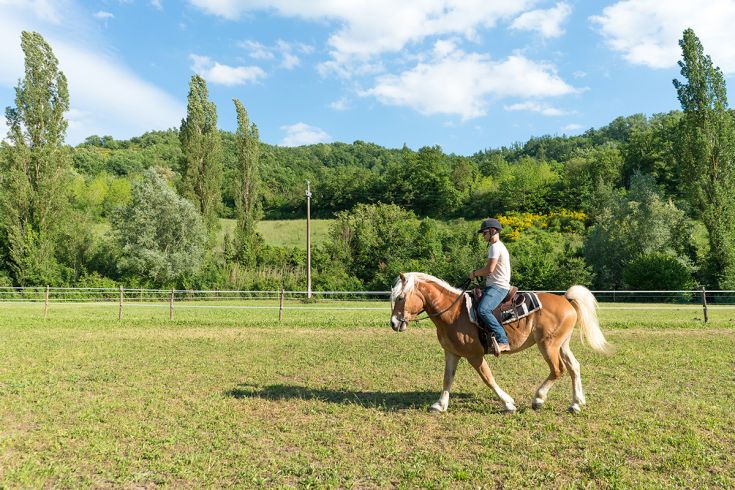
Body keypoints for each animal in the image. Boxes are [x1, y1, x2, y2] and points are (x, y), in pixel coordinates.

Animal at [389, 272, 611, 413]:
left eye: (400, 297)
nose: (393, 323)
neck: (453, 313)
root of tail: (566, 299)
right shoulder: (452, 353)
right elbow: (447, 379)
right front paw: (440, 405)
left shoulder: (474, 355)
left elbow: (488, 378)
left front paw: (508, 404)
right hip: (561, 344)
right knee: (574, 367)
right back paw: (576, 404)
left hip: (548, 345)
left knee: (558, 370)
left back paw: (538, 399)